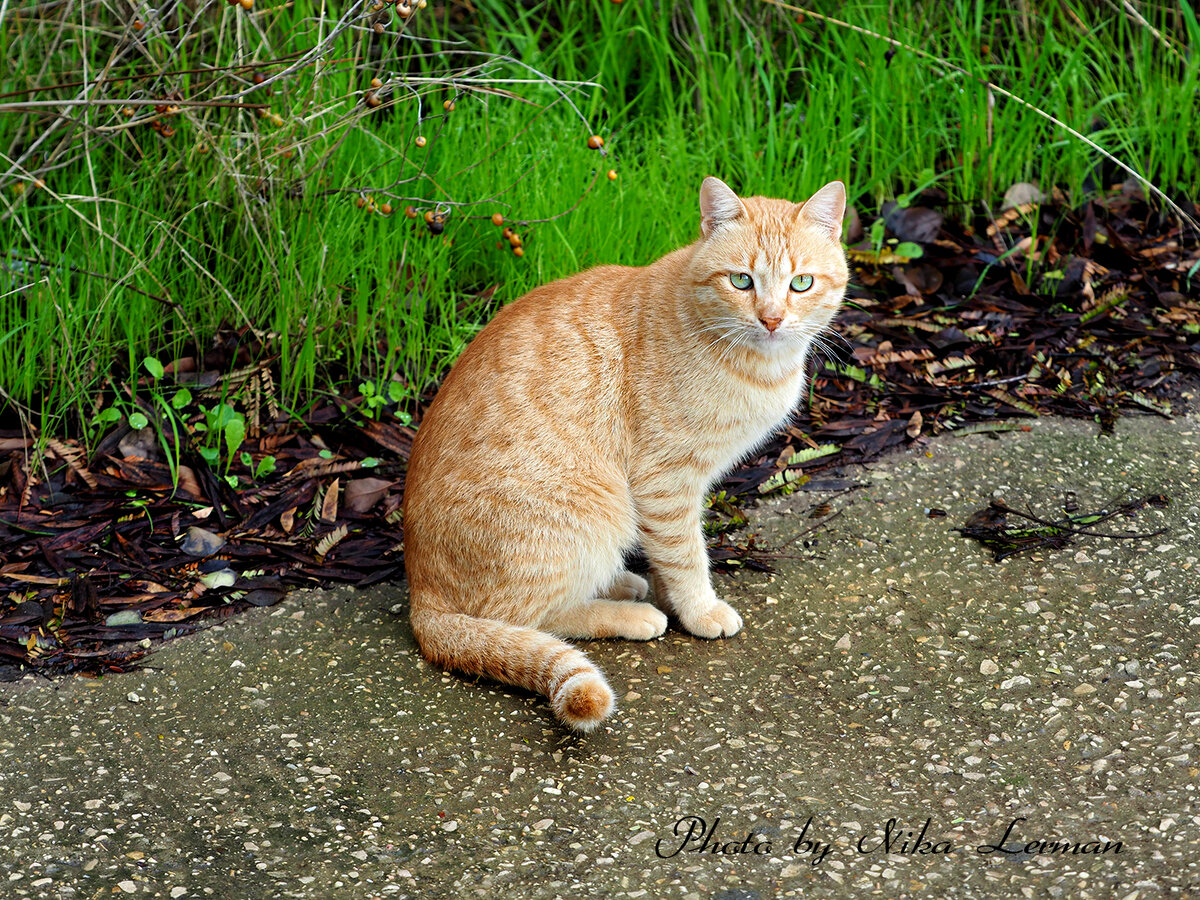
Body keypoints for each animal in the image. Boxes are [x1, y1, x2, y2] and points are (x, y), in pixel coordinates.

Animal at [408, 177, 849, 734]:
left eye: (802, 284)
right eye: (742, 281)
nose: (771, 319)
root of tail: (420, 594)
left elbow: (669, 556)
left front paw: (671, 594)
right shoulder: (666, 480)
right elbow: (686, 556)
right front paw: (699, 609)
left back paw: (622, 585)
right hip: (598, 508)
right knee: (524, 619)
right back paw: (630, 615)